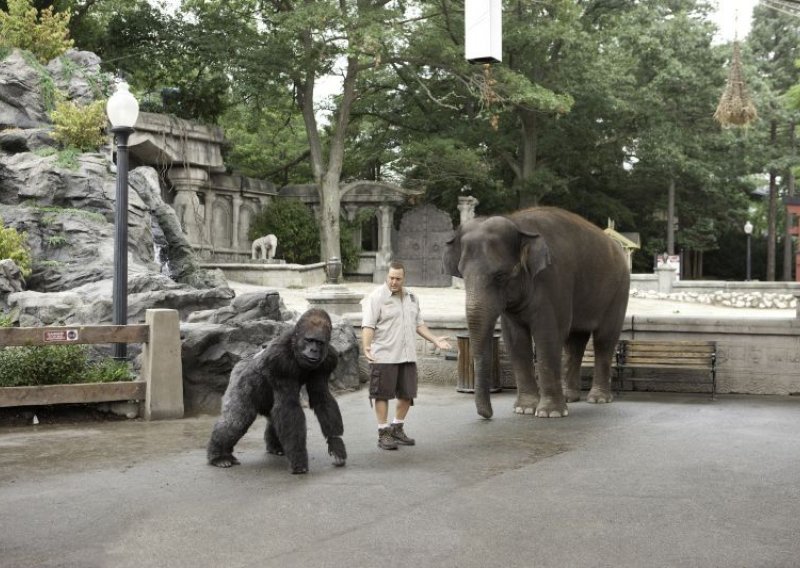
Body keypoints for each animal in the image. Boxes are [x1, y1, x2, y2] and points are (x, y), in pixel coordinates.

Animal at [206, 308, 346, 472]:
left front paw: (336, 444)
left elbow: (321, 397)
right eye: (309, 340)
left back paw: (275, 447)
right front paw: (299, 458)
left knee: (272, 416)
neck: (295, 345)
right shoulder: (279, 359)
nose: (314, 350)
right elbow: (289, 406)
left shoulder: (329, 359)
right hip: (240, 378)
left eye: (319, 342)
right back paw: (219, 456)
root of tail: (241, 362)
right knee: (237, 420)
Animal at [444, 206, 632, 420]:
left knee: (604, 340)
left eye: (500, 275)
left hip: (619, 291)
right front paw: (524, 409)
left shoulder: (554, 279)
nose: (487, 415)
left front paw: (549, 413)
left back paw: (598, 399)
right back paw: (570, 397)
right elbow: (515, 339)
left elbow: (548, 334)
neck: (517, 223)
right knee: (575, 343)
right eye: (462, 275)